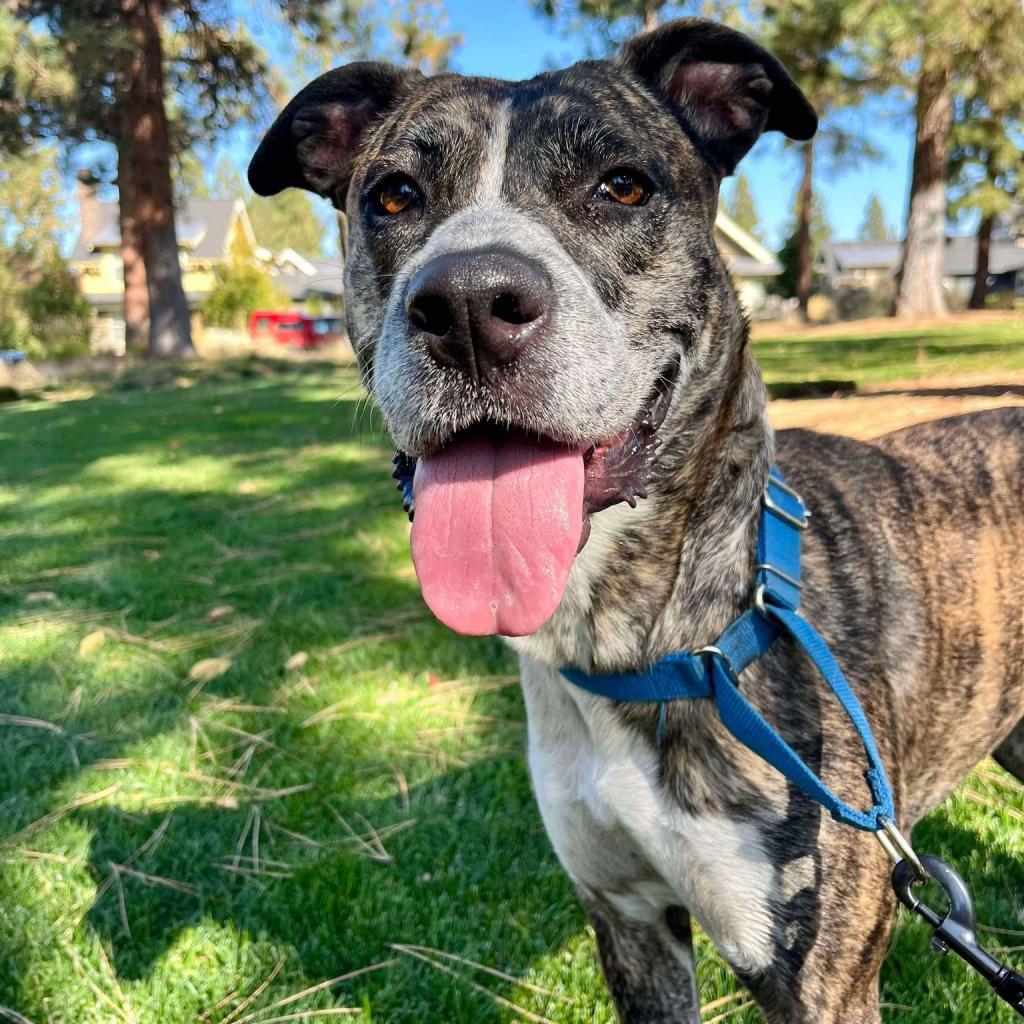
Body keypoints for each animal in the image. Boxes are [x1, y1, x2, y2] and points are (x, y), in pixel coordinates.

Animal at [249, 18, 1024, 1024]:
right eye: (392, 196)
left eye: (621, 185)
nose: (467, 304)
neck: (652, 642)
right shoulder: (628, 922)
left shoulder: (822, 978)